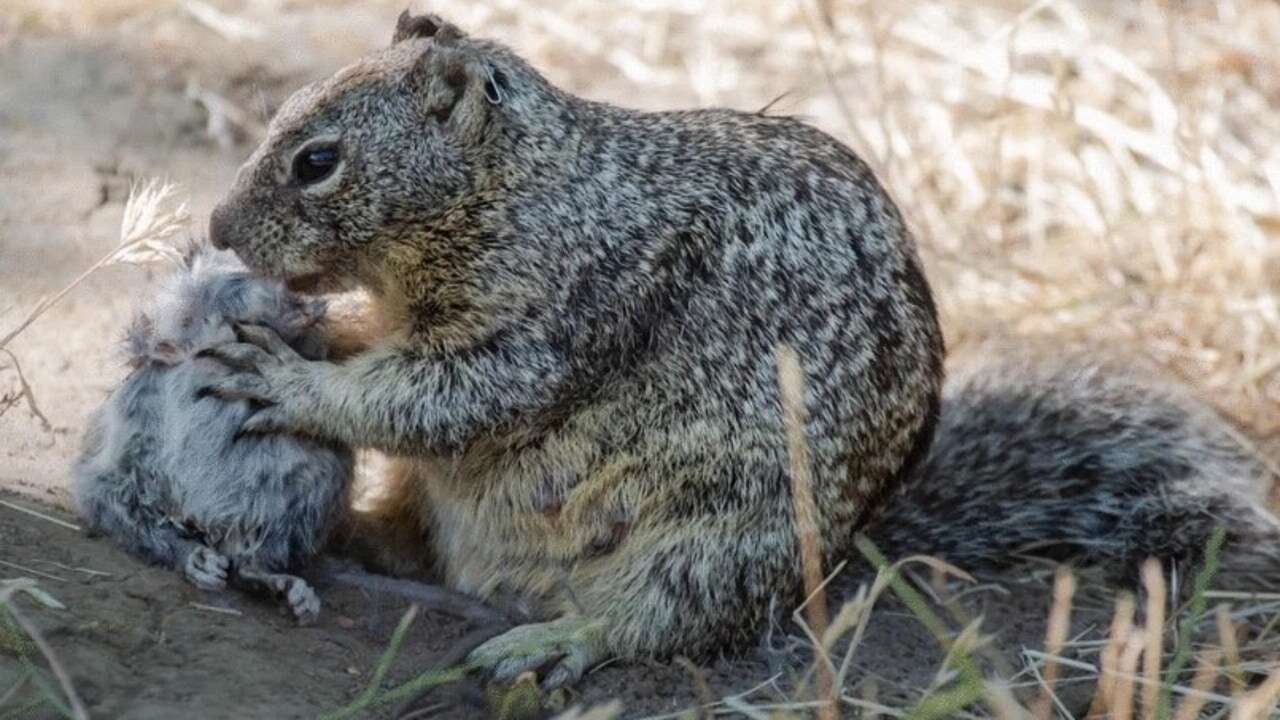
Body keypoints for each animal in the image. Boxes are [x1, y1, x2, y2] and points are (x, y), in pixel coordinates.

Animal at [199, 8, 1280, 681]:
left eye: (317, 160)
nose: (214, 227)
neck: (527, 189)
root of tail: (842, 555)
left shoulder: (553, 319)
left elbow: (438, 399)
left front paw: (286, 378)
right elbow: (382, 356)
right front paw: (305, 328)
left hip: (709, 542)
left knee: (656, 624)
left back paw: (552, 642)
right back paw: (352, 536)